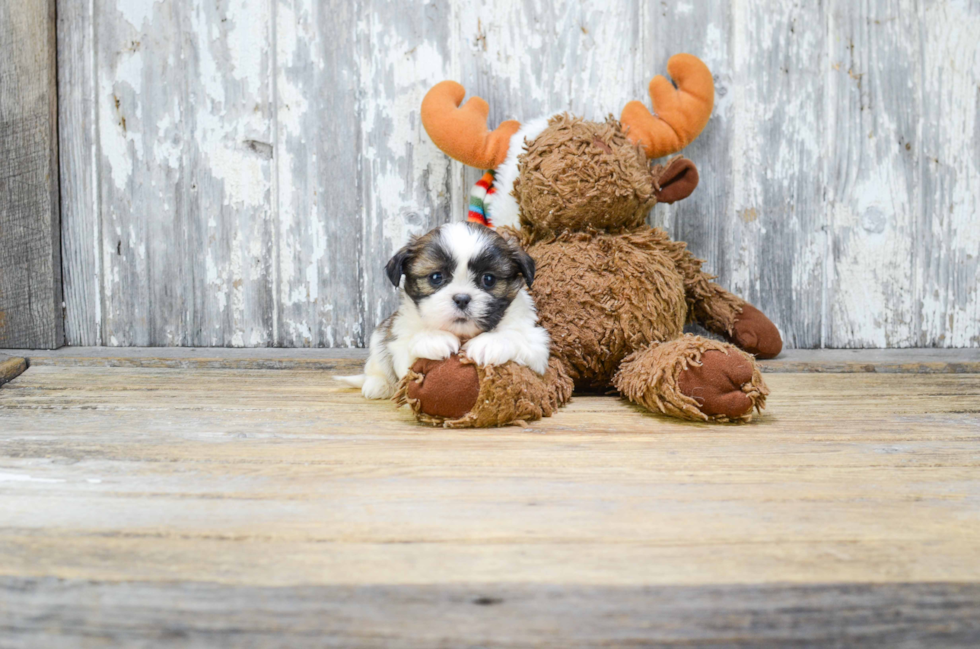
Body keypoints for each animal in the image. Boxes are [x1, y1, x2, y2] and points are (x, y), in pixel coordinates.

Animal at [340, 220, 548, 398]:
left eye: (488, 279)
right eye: (436, 277)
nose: (462, 299)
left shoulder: (537, 345)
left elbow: (519, 337)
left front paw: (491, 342)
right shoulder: (399, 341)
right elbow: (408, 352)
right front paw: (433, 338)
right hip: (379, 337)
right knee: (376, 364)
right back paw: (379, 384)